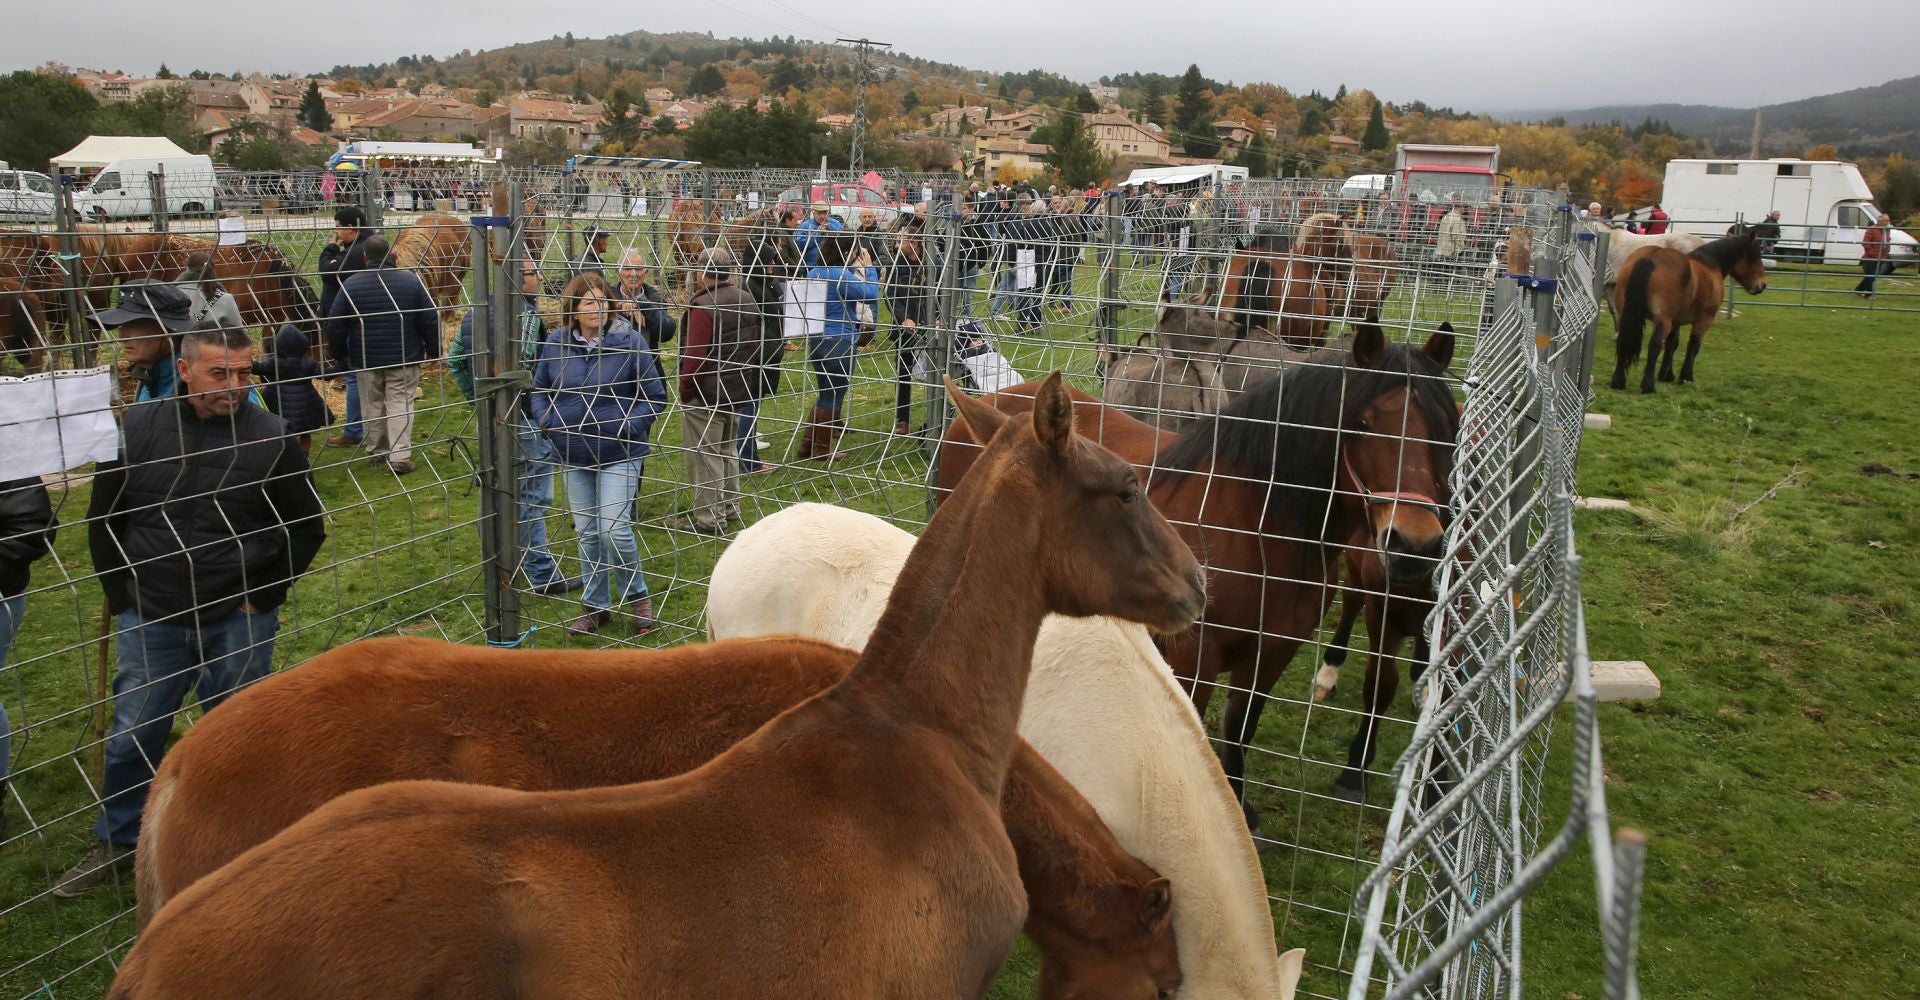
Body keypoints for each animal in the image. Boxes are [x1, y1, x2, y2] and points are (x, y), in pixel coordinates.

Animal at [936, 328, 1459, 817]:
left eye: (1446, 428)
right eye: (1363, 422)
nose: (1414, 544)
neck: (1255, 520)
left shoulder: (1273, 653)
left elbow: (1240, 727)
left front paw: (1243, 807)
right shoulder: (1192, 657)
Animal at [1605, 226, 1766, 393]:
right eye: (1756, 256)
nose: (1762, 285)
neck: (1710, 265)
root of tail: (1650, 258)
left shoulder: (1675, 321)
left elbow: (1672, 344)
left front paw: (1666, 374)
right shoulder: (1704, 321)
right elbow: (1693, 346)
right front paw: (1686, 377)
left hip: (1626, 315)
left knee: (1623, 340)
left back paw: (1618, 381)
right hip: (1662, 320)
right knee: (1654, 345)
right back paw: (1648, 385)